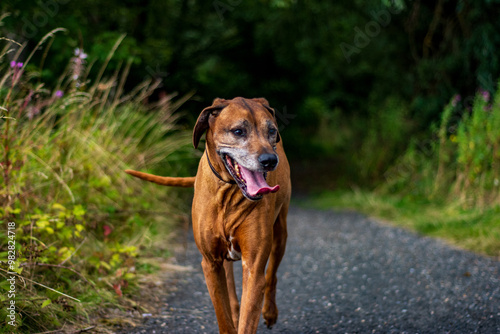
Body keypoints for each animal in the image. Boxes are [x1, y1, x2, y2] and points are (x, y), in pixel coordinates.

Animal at [125, 97, 292, 334]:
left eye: (272, 131)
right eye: (238, 131)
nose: (270, 160)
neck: (228, 193)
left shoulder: (253, 268)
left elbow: (251, 309)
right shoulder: (211, 264)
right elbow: (223, 315)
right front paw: (231, 319)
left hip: (279, 234)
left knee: (272, 275)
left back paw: (269, 311)